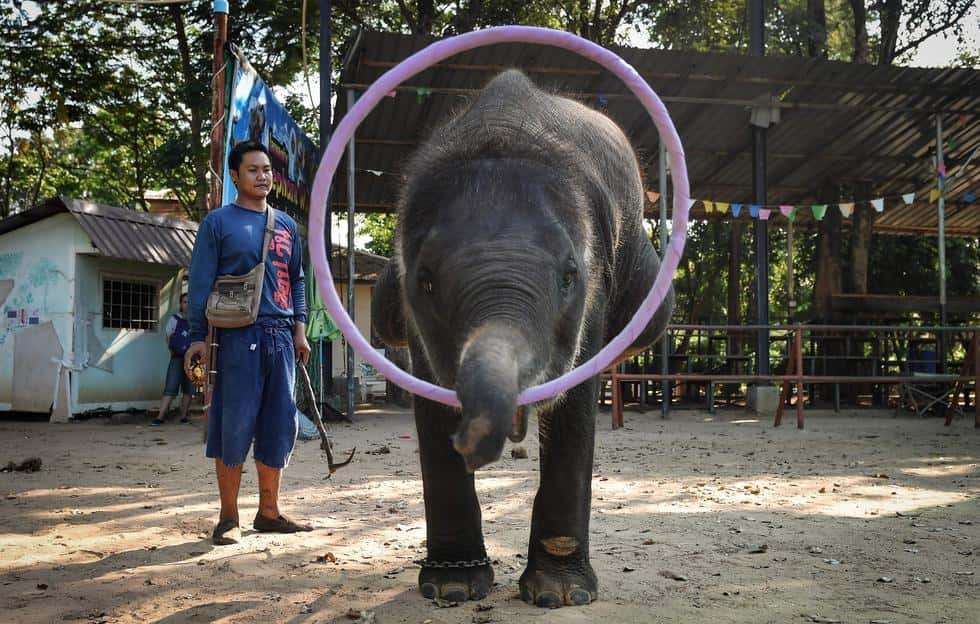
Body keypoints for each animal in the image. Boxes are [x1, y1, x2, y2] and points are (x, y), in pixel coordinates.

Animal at [371, 70, 674, 608]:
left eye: (569, 276)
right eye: (425, 281)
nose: (477, 441)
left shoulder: (595, 292)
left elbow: (575, 405)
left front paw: (560, 596)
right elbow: (431, 406)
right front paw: (452, 588)